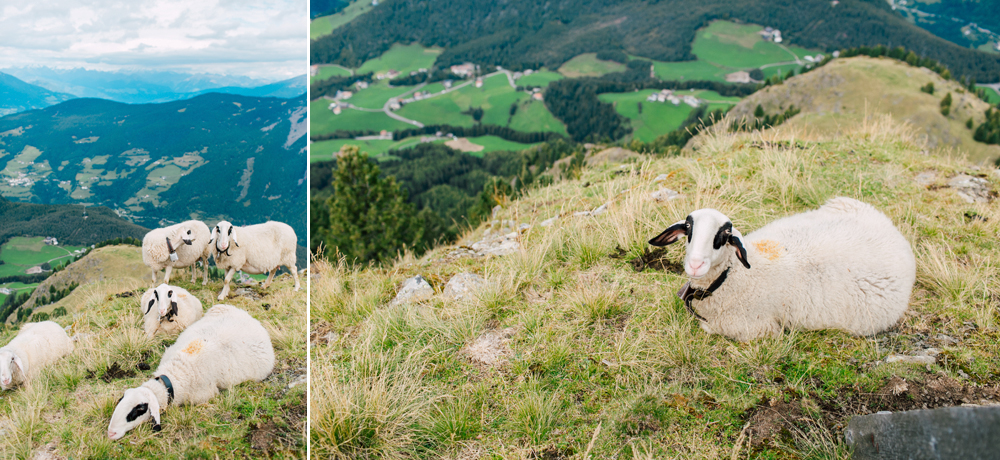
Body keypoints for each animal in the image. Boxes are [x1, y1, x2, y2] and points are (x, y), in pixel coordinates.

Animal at [648, 198, 916, 342]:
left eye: (724, 235)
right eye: (688, 227)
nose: (695, 265)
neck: (735, 276)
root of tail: (893, 230)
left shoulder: (755, 328)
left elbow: (707, 327)